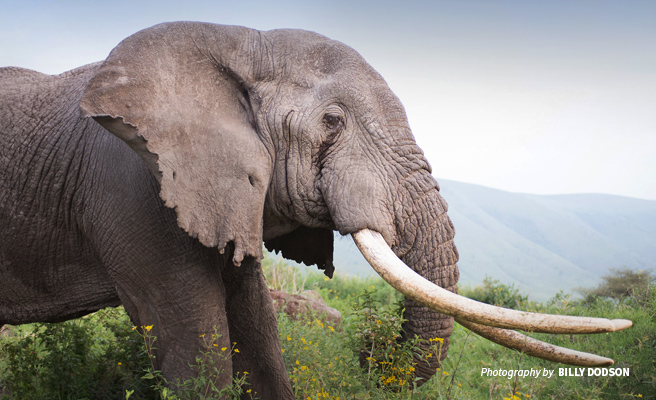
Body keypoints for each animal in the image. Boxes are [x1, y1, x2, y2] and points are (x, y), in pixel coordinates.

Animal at [1, 22, 632, 400]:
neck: (236, 42)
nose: (369, 345)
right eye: (332, 122)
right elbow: (193, 342)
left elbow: (255, 326)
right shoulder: (131, 186)